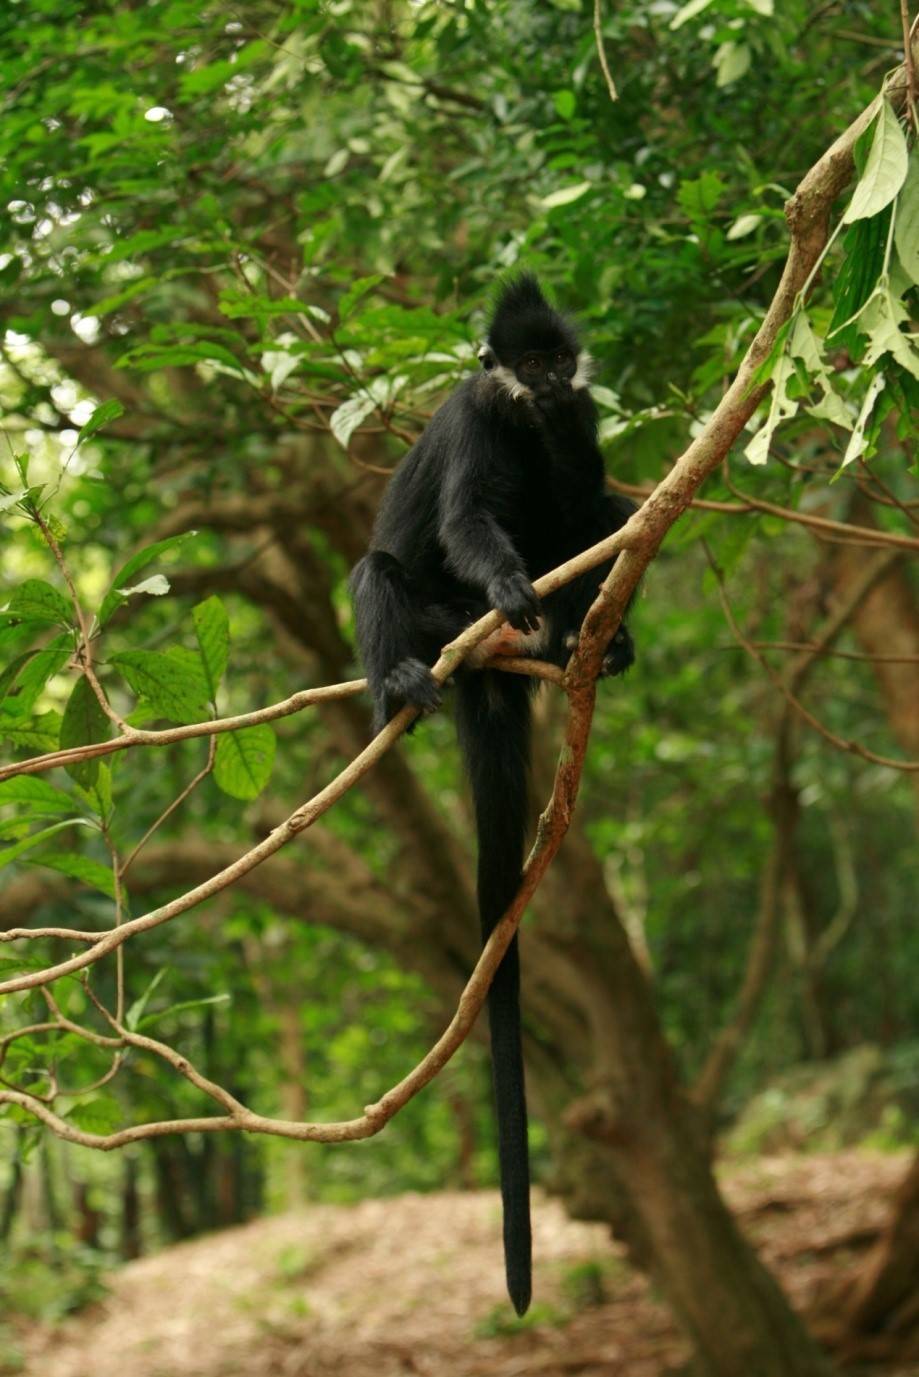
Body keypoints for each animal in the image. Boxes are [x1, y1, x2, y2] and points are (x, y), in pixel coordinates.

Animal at [348, 271, 636, 1310]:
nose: (546, 384)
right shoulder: (478, 414)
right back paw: (402, 683)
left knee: (599, 507)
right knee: (377, 568)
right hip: (442, 620)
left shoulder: (577, 416)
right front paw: (512, 577)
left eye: (558, 360)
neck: (525, 417)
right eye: (529, 361)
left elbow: (593, 494)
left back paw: (586, 640)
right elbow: (466, 516)